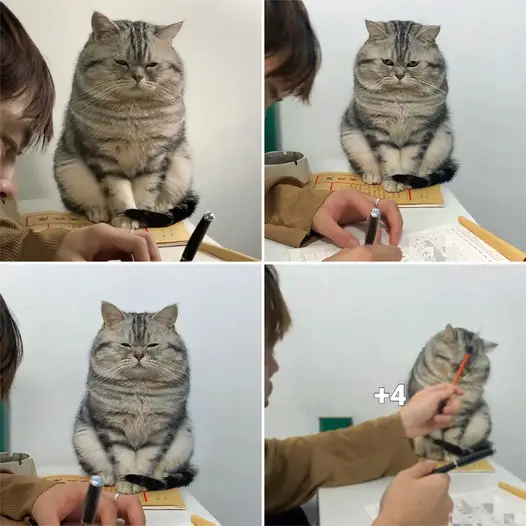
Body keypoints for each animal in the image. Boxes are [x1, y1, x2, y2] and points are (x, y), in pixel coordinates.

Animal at [54, 11, 198, 231]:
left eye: (151, 64)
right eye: (121, 62)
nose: (138, 77)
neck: (133, 113)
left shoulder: (157, 157)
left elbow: (146, 192)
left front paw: (140, 218)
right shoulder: (104, 157)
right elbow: (119, 192)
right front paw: (124, 219)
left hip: (182, 166)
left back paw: (159, 208)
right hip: (68, 170)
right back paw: (97, 211)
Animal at [72, 304, 198, 498]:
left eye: (152, 345)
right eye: (126, 344)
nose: (139, 354)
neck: (139, 389)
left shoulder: (161, 429)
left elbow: (148, 459)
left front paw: (139, 481)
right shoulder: (112, 428)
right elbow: (122, 459)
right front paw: (126, 483)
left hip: (184, 441)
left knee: (167, 469)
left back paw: (157, 476)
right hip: (83, 439)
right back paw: (106, 477)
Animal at [408, 326, 500, 462]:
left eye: (472, 369)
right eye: (458, 364)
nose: (464, 374)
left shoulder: (460, 413)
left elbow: (453, 435)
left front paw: (450, 455)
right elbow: (433, 436)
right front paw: (434, 453)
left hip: (481, 420)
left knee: (467, 445)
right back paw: (421, 450)